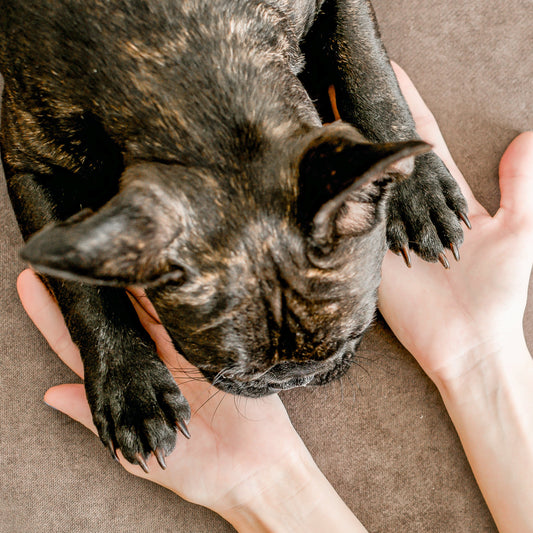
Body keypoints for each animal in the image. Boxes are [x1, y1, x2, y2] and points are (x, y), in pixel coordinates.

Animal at [0, 1, 466, 474]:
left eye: (351, 338)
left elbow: (368, 71)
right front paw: (130, 388)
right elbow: (82, 291)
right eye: (229, 370)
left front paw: (418, 187)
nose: (296, 379)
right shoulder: (31, 164)